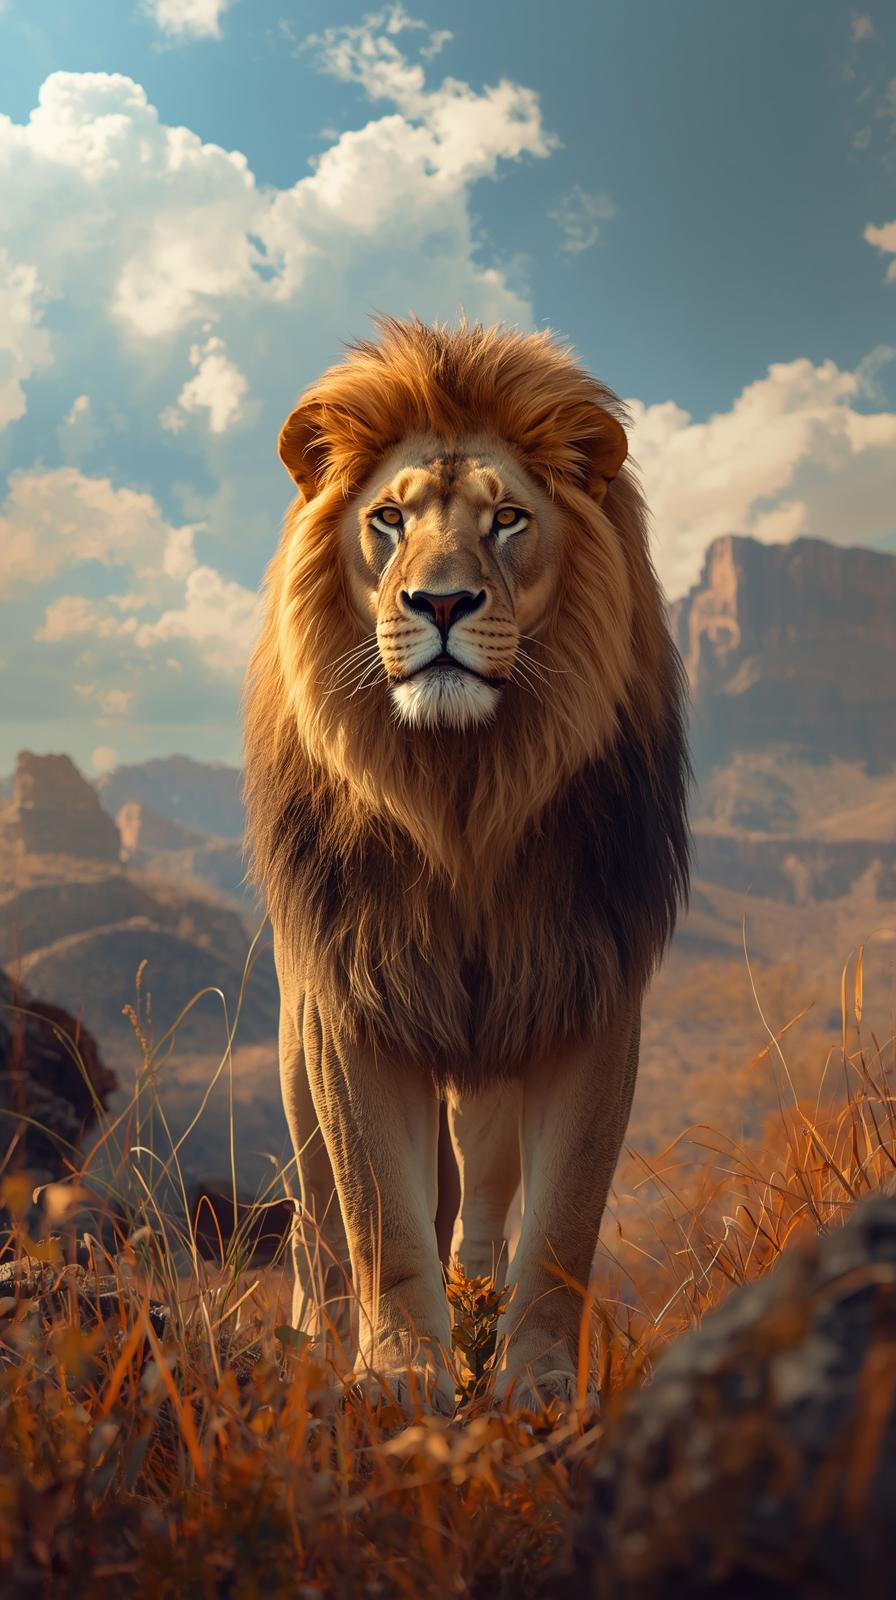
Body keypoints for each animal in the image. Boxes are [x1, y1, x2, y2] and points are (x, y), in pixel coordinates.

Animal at [243, 316, 690, 1411]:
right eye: (388, 518)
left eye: (509, 520)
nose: (438, 603)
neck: (461, 791)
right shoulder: (351, 1001)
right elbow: (380, 1217)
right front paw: (398, 1374)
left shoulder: (588, 989)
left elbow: (562, 1227)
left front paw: (537, 1386)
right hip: (295, 1044)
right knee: (319, 1222)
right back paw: (321, 1339)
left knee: (481, 1210)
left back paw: (480, 1324)